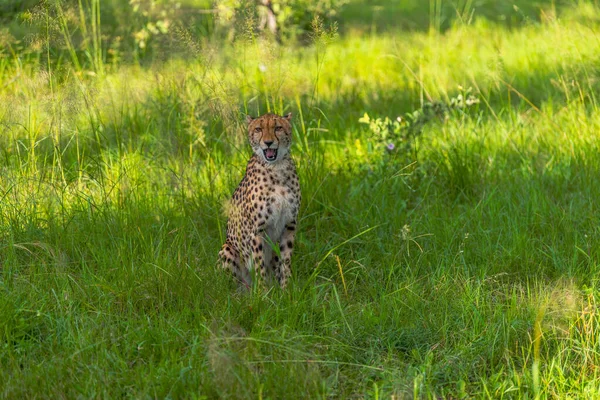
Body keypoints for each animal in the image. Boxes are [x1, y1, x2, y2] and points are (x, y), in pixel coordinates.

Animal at [219, 111, 300, 288]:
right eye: (258, 129)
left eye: (278, 128)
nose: (268, 142)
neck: (276, 168)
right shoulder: (257, 230)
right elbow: (259, 264)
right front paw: (263, 293)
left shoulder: (289, 225)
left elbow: (285, 261)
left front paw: (286, 290)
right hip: (227, 248)